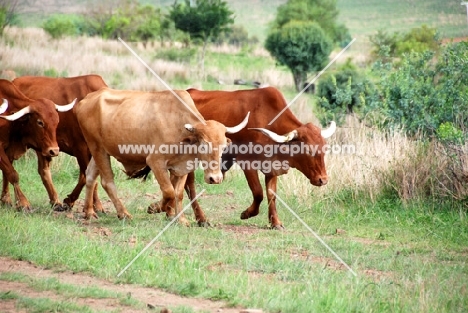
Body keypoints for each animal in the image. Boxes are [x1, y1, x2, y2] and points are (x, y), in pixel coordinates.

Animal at [0, 79, 75, 210]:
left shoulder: (9, 150)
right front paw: (23, 203)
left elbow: (6, 174)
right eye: (40, 122)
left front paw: (6, 200)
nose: (54, 151)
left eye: (57, 121)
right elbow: (13, 174)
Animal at [11, 74, 108, 210]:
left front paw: (94, 205)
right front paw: (73, 201)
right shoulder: (80, 148)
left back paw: (54, 200)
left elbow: (89, 177)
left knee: (43, 170)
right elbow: (86, 177)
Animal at [75, 87, 249, 222]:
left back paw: (89, 212)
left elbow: (178, 193)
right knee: (107, 182)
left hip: (100, 151)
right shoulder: (155, 162)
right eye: (205, 145)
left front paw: (181, 219)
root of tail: (86, 100)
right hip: (98, 149)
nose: (215, 178)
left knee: (90, 177)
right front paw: (156, 207)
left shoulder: (182, 167)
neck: (180, 128)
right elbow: (169, 191)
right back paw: (123, 214)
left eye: (223, 147)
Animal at [181, 86, 334, 228]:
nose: (323, 180)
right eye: (307, 150)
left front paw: (275, 222)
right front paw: (247, 213)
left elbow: (271, 194)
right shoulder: (247, 163)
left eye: (324, 148)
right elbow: (258, 192)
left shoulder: (272, 167)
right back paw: (202, 219)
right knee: (190, 186)